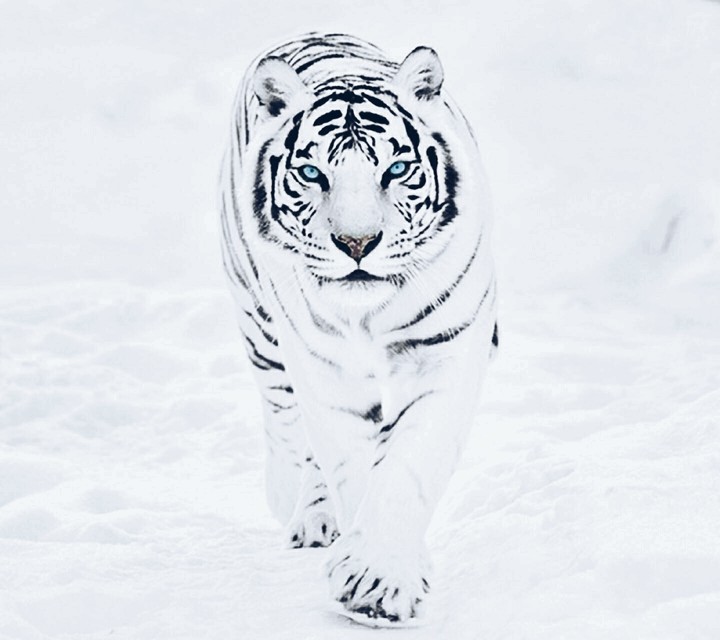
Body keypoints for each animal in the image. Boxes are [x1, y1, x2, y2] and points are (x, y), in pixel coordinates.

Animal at [219, 32, 498, 626]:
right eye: (312, 174)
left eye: (395, 170)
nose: (357, 243)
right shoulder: (325, 370)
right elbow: (346, 458)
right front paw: (372, 576)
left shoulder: (445, 351)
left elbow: (408, 463)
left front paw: (380, 580)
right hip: (260, 326)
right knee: (285, 421)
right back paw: (298, 507)